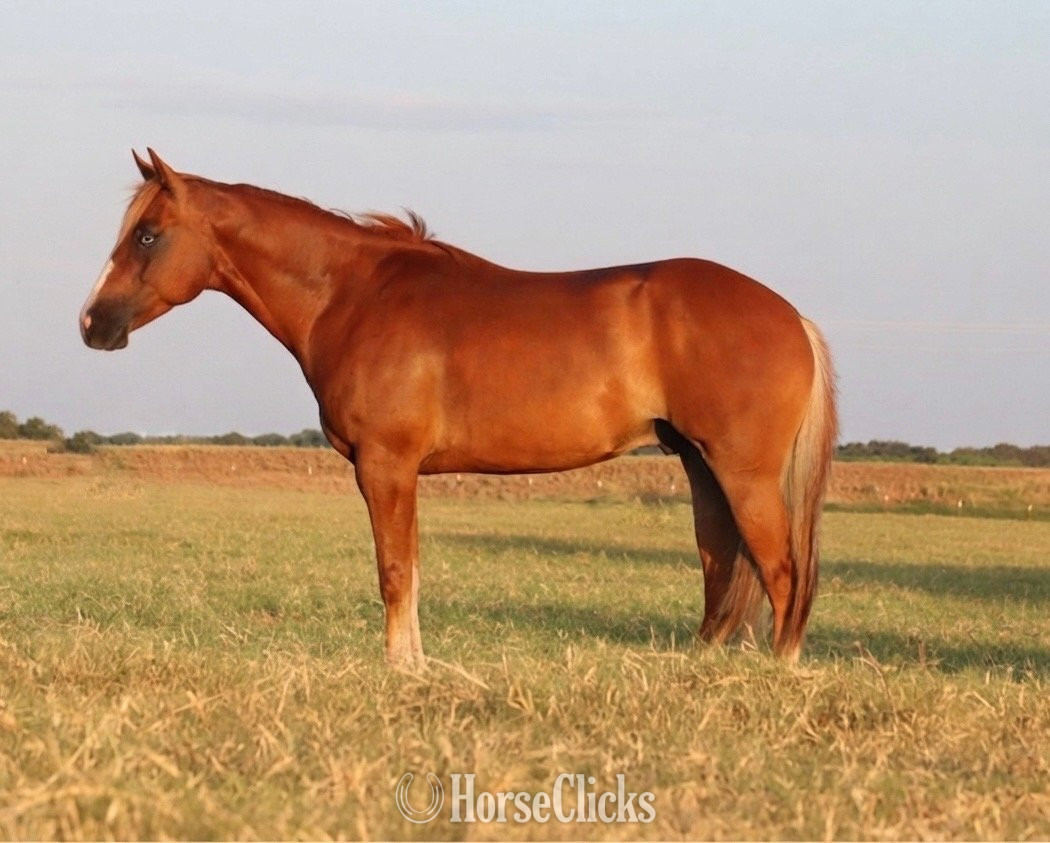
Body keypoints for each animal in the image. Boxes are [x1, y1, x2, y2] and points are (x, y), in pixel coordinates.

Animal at [80, 149, 837, 667]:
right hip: (702, 468)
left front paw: (399, 669)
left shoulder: (386, 465)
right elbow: (411, 570)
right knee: (723, 567)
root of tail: (791, 316)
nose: (92, 322)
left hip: (742, 473)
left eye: (148, 234)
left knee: (781, 573)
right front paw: (416, 665)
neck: (354, 294)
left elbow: (393, 571)